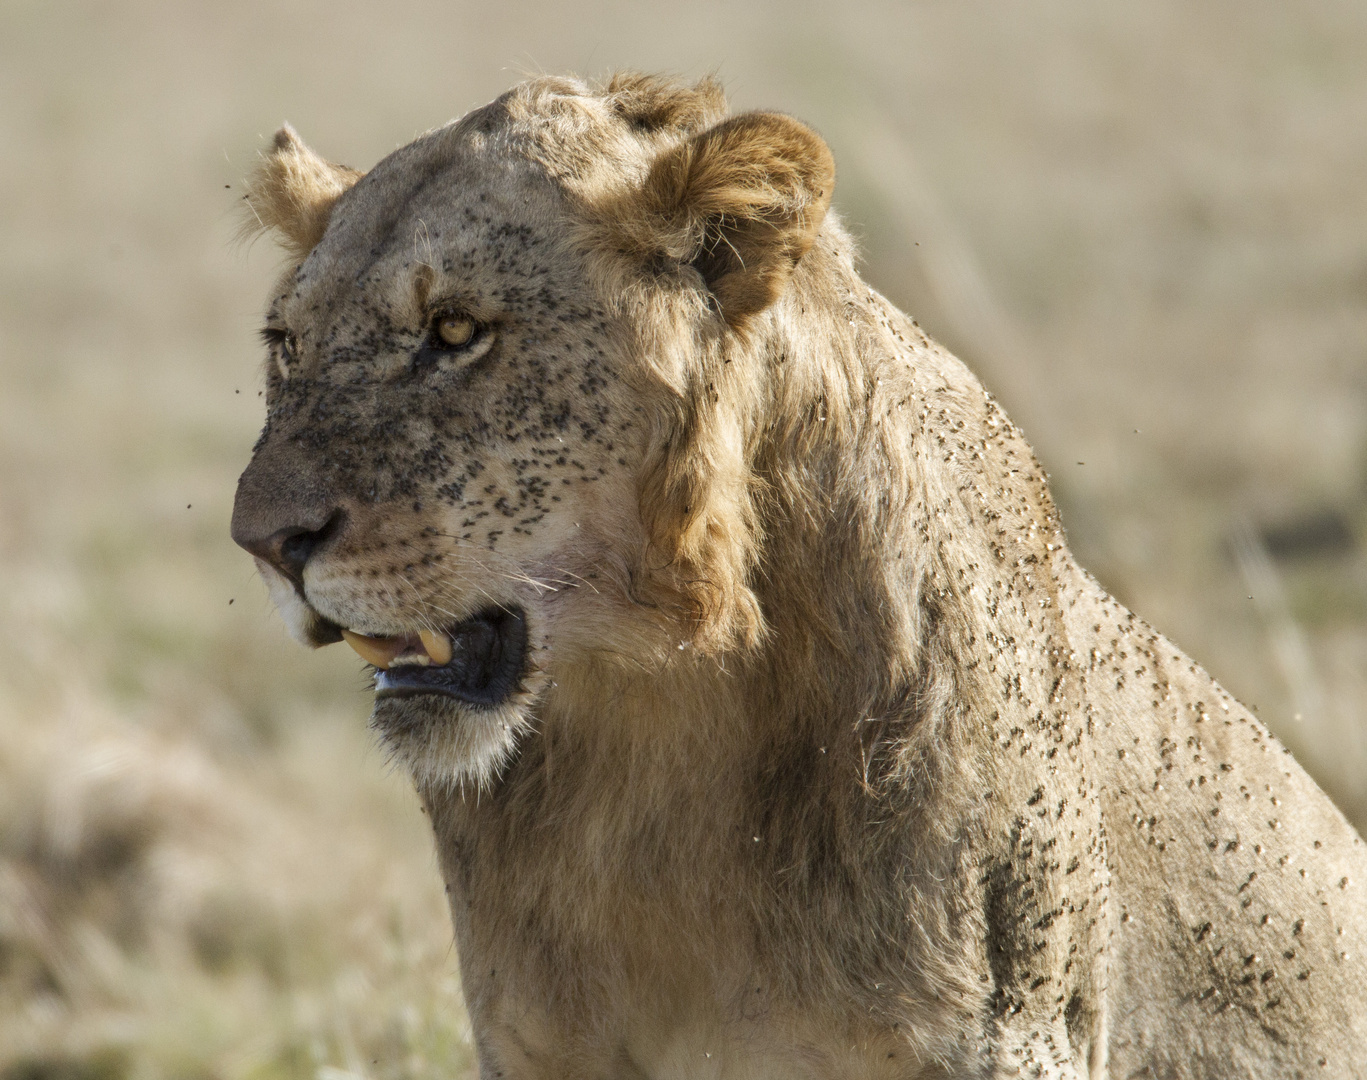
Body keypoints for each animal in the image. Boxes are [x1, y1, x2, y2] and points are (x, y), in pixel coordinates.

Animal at [232, 71, 1367, 1077]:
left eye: (455, 331)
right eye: (286, 345)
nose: (262, 541)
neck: (656, 710)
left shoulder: (1006, 1038)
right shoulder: (534, 1047)